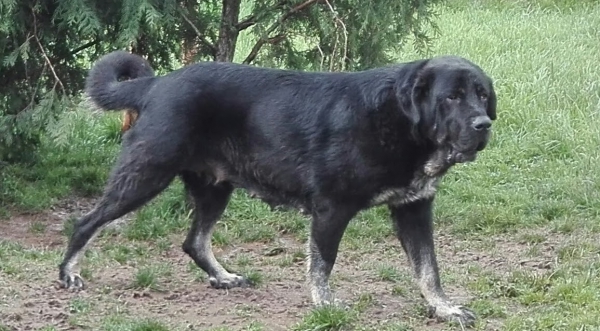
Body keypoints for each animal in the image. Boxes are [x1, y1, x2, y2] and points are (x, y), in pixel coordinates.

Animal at [58, 51, 494, 326]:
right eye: (452, 97)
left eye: (482, 95)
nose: (483, 124)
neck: (400, 119)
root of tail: (154, 84)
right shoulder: (331, 208)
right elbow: (322, 265)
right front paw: (324, 305)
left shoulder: (414, 207)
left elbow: (428, 269)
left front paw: (444, 309)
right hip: (146, 174)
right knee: (86, 222)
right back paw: (68, 273)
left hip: (215, 188)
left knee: (194, 241)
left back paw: (223, 277)